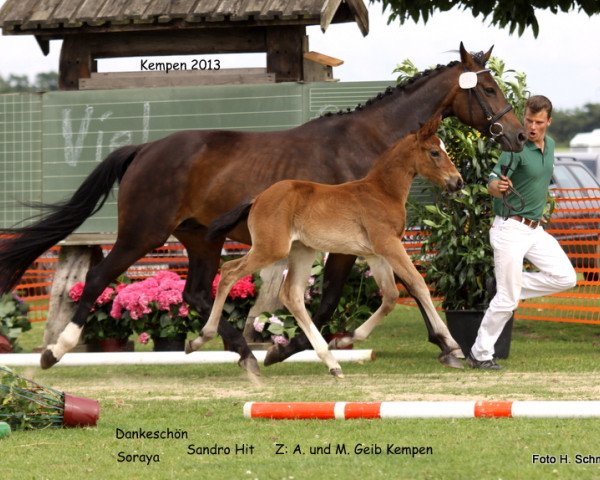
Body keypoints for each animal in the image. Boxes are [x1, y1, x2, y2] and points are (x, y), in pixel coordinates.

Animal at [188, 115, 464, 376]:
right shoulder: (389, 244)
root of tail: (257, 198)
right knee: (229, 272)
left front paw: (345, 340)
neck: (382, 192)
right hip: (271, 249)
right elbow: (418, 285)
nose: (458, 181)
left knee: (291, 294)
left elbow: (391, 296)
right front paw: (453, 346)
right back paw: (203, 338)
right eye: (435, 152)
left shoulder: (376, 253)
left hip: (302, 250)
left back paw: (329, 361)